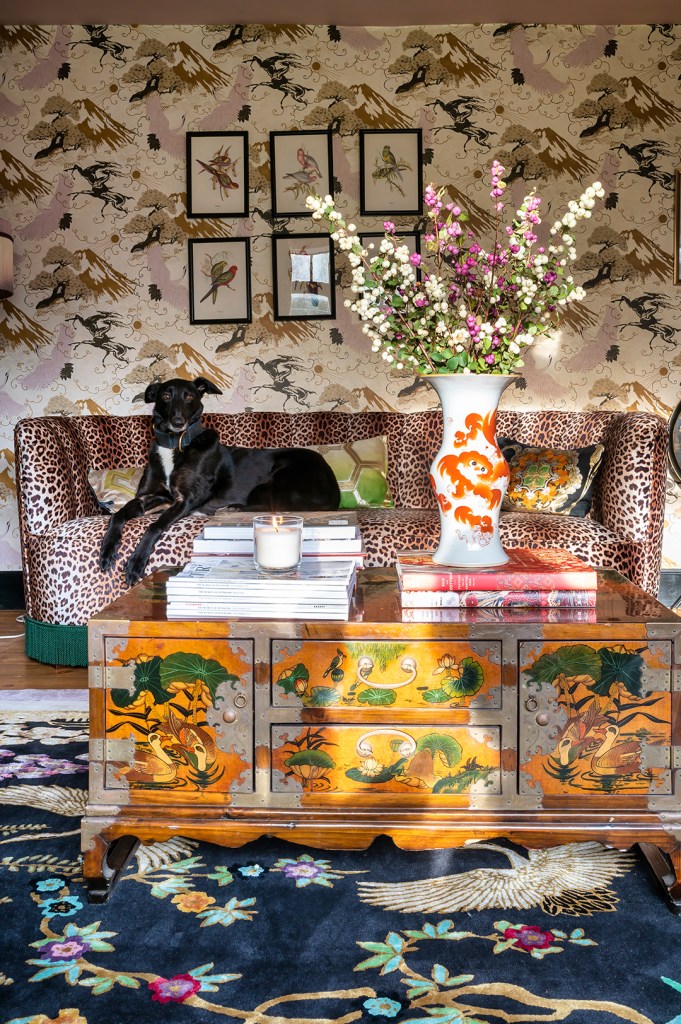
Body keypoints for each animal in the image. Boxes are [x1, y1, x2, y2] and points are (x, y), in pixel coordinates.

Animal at [99, 376, 339, 585]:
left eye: (189, 396)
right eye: (166, 396)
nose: (178, 422)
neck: (175, 445)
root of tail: (333, 487)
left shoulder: (186, 499)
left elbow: (154, 526)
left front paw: (136, 563)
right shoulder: (149, 496)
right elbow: (117, 516)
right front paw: (107, 550)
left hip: (274, 480)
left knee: (273, 506)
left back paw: (231, 509)